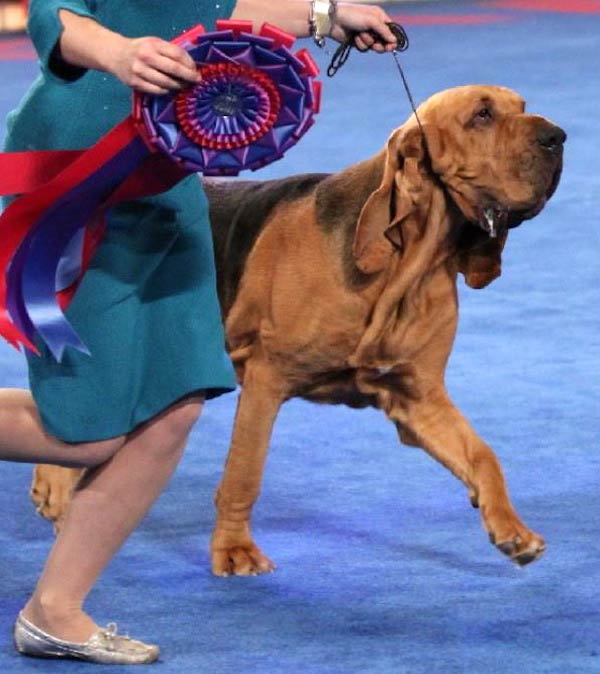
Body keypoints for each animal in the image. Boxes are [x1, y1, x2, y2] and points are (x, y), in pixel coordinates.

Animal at [29, 85, 564, 572]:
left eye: (521, 106)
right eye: (482, 115)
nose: (558, 138)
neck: (409, 261)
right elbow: (245, 472)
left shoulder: (418, 396)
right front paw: (234, 551)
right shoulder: (267, 378)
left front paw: (512, 530)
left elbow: (483, 455)